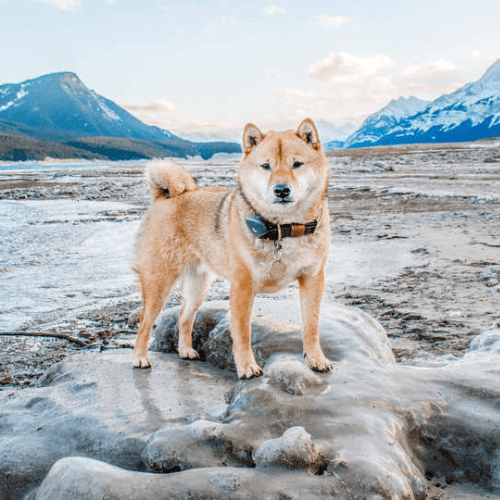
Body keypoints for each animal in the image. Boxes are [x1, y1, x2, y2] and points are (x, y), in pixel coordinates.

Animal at [134, 120, 332, 378]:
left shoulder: (312, 279)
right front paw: (247, 366)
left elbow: (311, 325)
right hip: (159, 281)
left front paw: (316, 359)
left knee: (184, 316)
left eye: (297, 164)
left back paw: (185, 350)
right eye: (266, 166)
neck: (283, 228)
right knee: (145, 322)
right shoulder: (242, 286)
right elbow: (243, 332)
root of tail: (165, 197)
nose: (281, 190)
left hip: (198, 285)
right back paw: (139, 357)